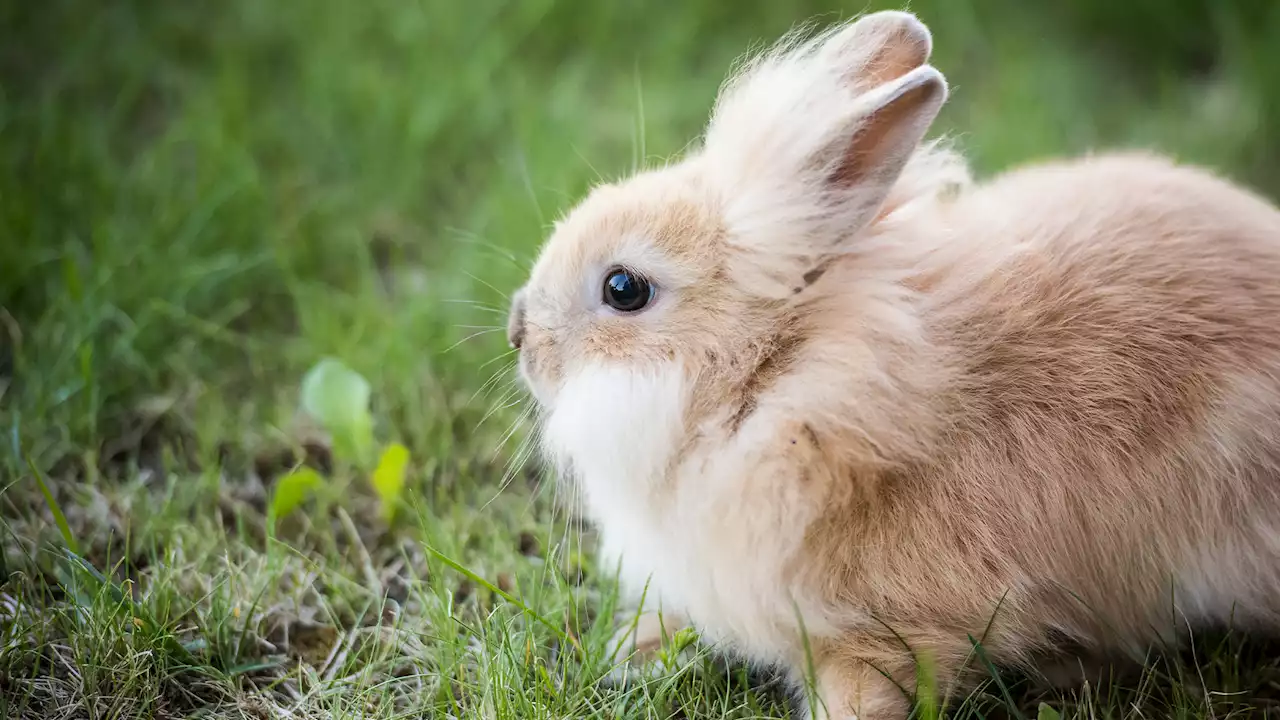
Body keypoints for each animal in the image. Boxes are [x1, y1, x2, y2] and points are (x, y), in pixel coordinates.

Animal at [501, 8, 1280, 712]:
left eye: (623, 289)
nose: (517, 331)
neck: (780, 384)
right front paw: (632, 653)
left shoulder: (889, 634)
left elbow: (864, 692)